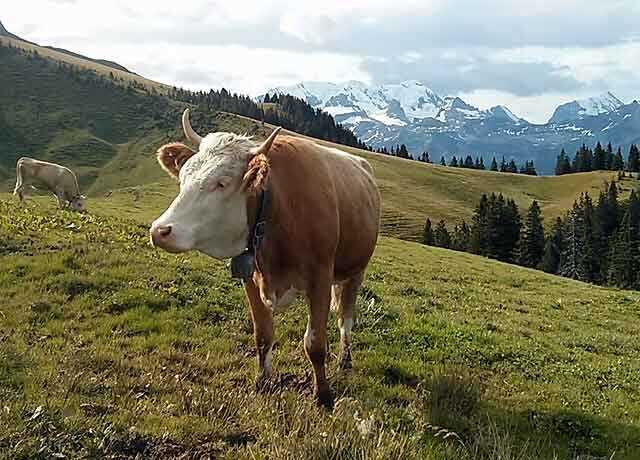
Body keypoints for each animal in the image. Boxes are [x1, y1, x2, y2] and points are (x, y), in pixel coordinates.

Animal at [150, 109, 380, 408]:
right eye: (184, 177)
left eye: (221, 183)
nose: (160, 230)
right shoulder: (250, 275)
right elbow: (263, 334)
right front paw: (263, 381)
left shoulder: (320, 277)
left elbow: (315, 344)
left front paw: (323, 394)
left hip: (356, 271)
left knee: (346, 319)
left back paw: (345, 359)